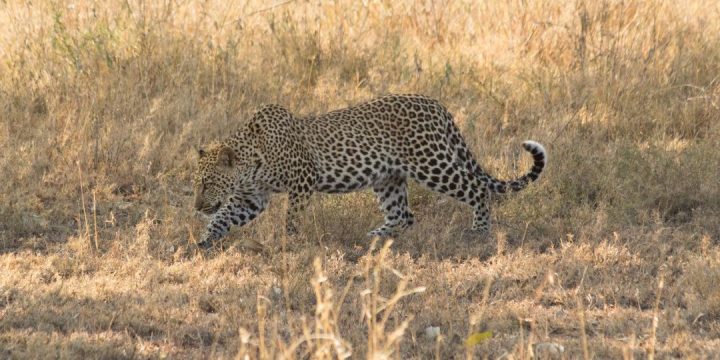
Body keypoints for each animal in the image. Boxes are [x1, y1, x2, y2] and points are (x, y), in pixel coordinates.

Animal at [191, 94, 544, 249]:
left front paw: (288, 243)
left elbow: (291, 218)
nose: (196, 206)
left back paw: (479, 232)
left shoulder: (303, 181)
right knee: (404, 215)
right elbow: (223, 217)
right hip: (389, 178)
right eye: (198, 183)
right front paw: (203, 240)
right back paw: (371, 240)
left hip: (433, 164)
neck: (251, 162)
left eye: (207, 183)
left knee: (478, 190)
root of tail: (436, 104)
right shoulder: (251, 197)